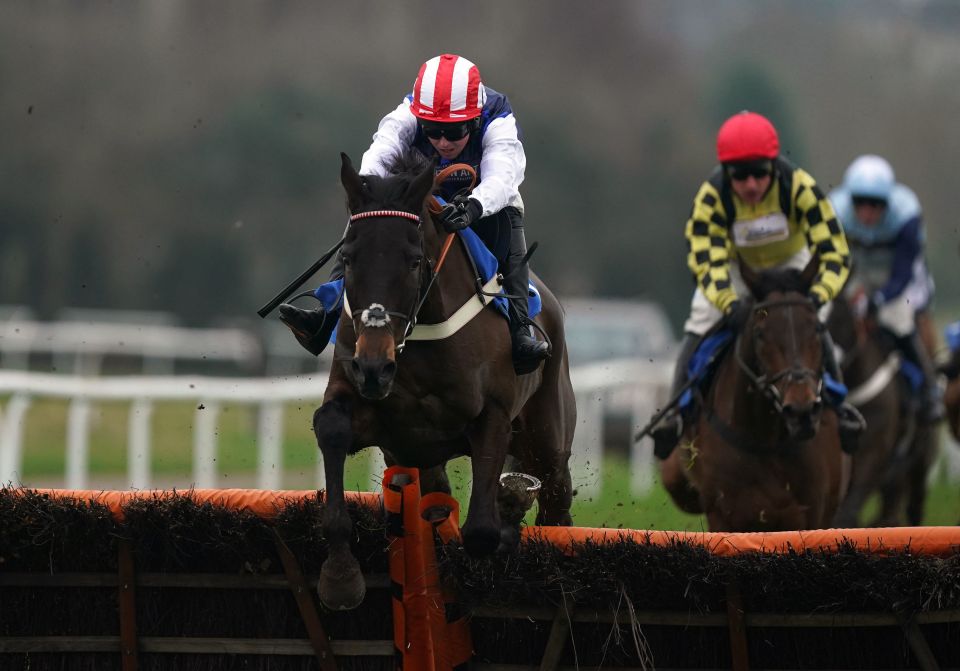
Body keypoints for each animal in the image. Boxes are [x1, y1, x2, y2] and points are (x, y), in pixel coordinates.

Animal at [312, 155, 572, 612]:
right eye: (348, 257)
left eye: (415, 260)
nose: (374, 367)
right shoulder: (377, 415)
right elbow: (332, 427)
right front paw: (340, 578)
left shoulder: (493, 418)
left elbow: (482, 531)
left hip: (547, 440)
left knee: (556, 502)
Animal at [660, 260, 848, 532]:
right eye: (760, 333)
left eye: (817, 328)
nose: (801, 411)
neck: (766, 439)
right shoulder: (724, 515)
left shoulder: (812, 514)